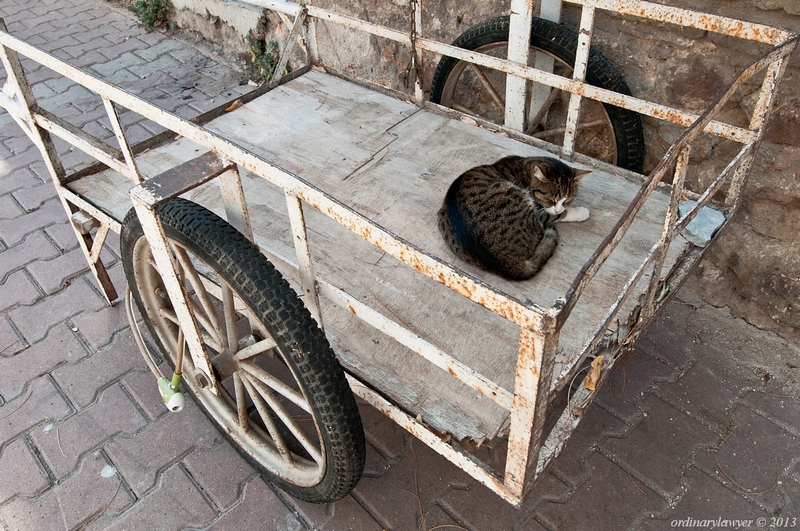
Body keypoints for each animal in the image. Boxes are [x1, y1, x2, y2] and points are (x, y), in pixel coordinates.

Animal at [434, 157, 592, 282]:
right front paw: (580, 212)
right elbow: (557, 215)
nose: (559, 208)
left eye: (568, 200)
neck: (523, 166)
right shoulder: (541, 212)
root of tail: (511, 264)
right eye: (551, 200)